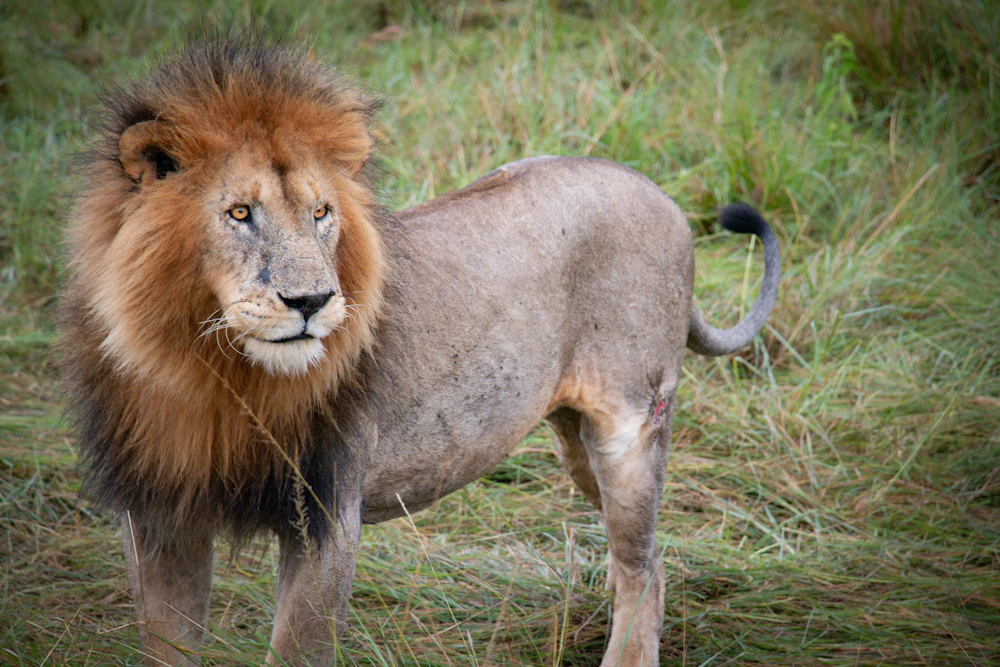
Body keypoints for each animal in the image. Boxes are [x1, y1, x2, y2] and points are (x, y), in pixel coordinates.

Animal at [61, 39, 779, 667]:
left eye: (321, 212)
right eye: (239, 212)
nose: (312, 300)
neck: (209, 371)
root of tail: (660, 194)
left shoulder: (327, 515)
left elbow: (298, 649)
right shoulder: (160, 515)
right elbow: (167, 643)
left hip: (628, 426)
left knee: (644, 567)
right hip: (577, 439)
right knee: (645, 558)